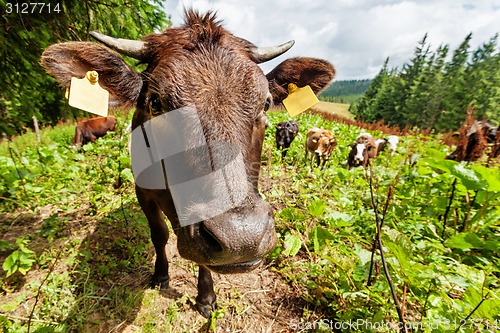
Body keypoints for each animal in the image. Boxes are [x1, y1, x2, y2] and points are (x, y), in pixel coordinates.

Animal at [40, 9, 336, 316]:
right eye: (155, 102)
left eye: (265, 103)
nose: (242, 238)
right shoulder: (143, 192)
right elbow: (159, 234)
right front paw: (160, 275)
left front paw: (205, 295)